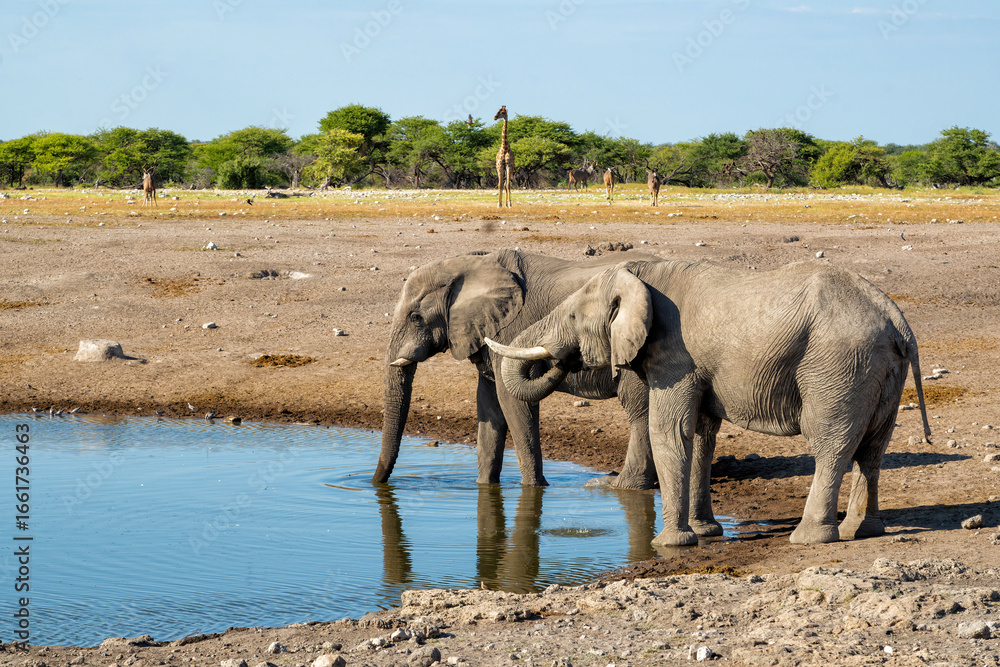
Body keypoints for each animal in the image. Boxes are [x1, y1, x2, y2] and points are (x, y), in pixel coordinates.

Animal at [373, 249, 659, 489]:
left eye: (416, 318)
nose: (375, 483)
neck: (471, 264)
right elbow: (488, 406)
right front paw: (484, 486)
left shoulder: (509, 331)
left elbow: (513, 403)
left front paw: (534, 488)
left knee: (639, 411)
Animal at [487, 259, 932, 546]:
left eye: (574, 318)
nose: (561, 361)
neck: (640, 277)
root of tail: (897, 319)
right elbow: (701, 435)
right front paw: (704, 533)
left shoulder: (674, 355)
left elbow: (669, 431)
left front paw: (669, 543)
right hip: (879, 369)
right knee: (873, 448)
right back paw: (863, 531)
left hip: (838, 365)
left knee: (831, 444)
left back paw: (809, 538)